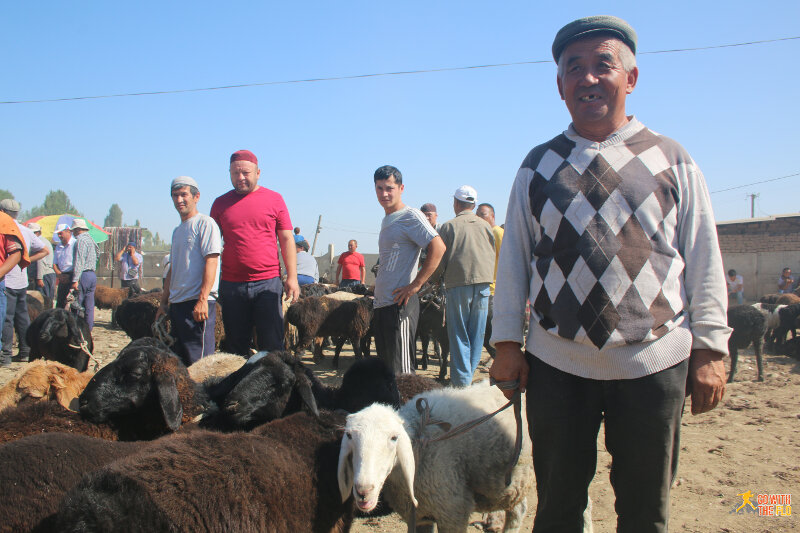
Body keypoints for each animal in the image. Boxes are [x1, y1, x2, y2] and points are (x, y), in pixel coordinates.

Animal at [336, 380, 532, 528]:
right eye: (349, 436)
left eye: (394, 438)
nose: (363, 491)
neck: (420, 443)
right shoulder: (421, 515)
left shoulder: (453, 511)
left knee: (518, 512)